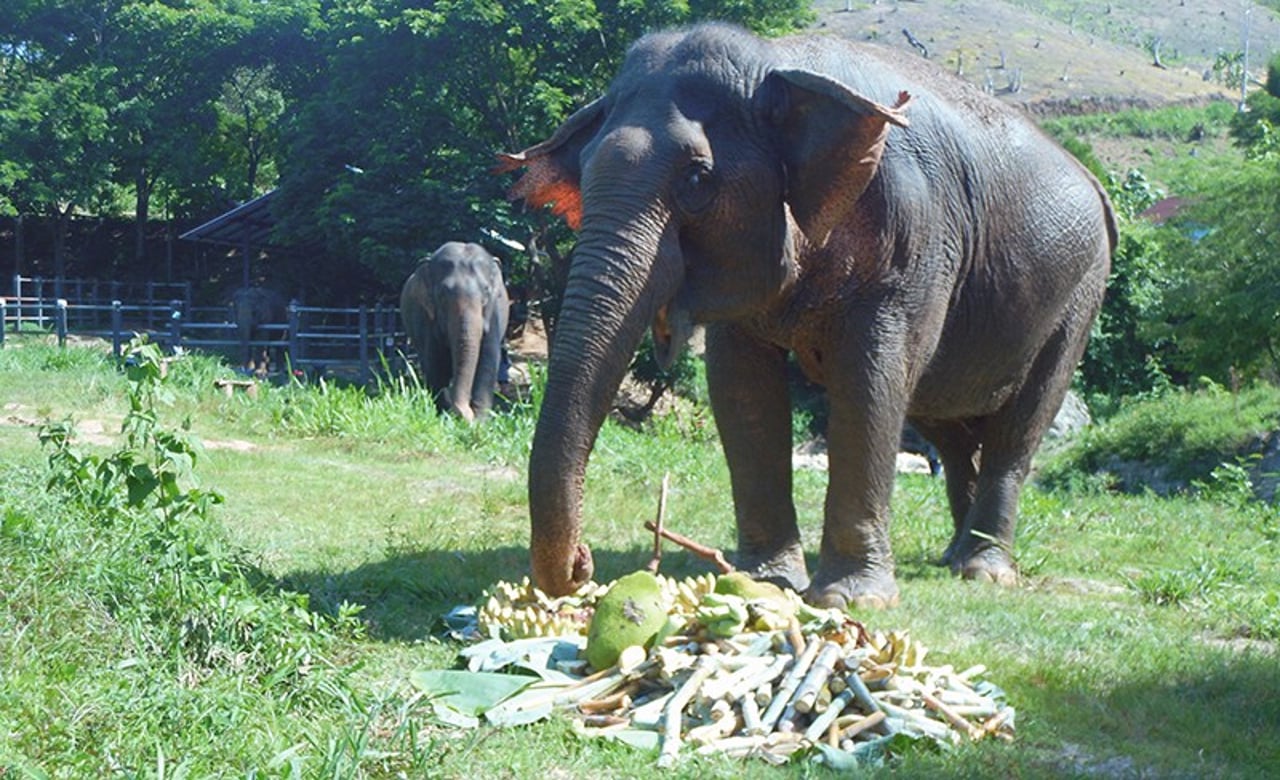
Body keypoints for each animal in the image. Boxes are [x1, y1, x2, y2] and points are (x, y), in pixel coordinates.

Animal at [399, 240, 509, 420]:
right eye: (442, 294)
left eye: (486, 291)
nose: (463, 411)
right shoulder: (426, 318)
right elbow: (435, 364)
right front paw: (444, 414)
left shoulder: (494, 316)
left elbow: (488, 361)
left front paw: (480, 421)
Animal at [494, 25, 1116, 609]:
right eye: (584, 171)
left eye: (696, 180)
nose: (582, 565)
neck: (776, 63)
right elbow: (741, 387)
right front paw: (763, 579)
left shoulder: (915, 235)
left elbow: (870, 382)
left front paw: (851, 599)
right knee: (949, 428)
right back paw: (951, 556)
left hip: (1080, 295)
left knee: (1019, 426)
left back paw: (983, 570)